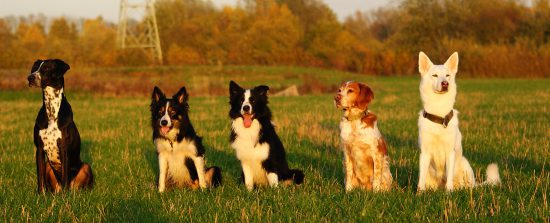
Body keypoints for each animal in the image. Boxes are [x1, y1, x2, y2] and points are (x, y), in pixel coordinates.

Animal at [27, 58, 94, 192]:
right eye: (35, 68)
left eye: (47, 68)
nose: (30, 78)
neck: (52, 110)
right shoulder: (39, 150)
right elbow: (40, 178)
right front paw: (40, 194)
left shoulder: (64, 149)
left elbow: (65, 177)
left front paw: (65, 196)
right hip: (48, 165)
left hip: (86, 167)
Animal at [418, 51, 504, 192]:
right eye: (435, 75)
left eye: (447, 75)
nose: (445, 83)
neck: (439, 115)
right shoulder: (424, 153)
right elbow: (421, 179)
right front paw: (420, 193)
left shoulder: (450, 153)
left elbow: (449, 178)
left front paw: (449, 193)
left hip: (464, 164)